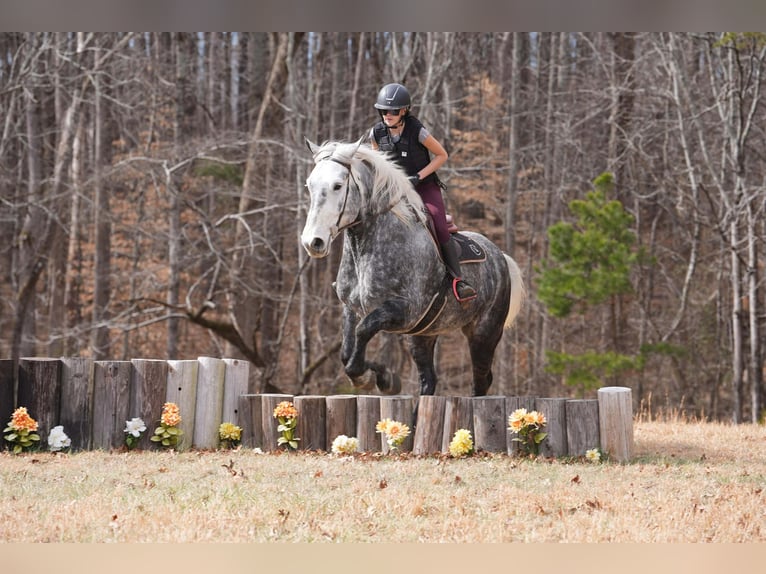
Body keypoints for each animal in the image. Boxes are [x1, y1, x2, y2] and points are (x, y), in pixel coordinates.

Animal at [301, 138, 525, 397]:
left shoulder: (404, 311)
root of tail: (500, 256)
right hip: (422, 336)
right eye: (309, 185)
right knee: (429, 378)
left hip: (484, 333)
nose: (313, 242)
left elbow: (363, 331)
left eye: (338, 186)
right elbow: (347, 351)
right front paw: (381, 377)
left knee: (481, 378)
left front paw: (375, 378)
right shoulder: (351, 307)